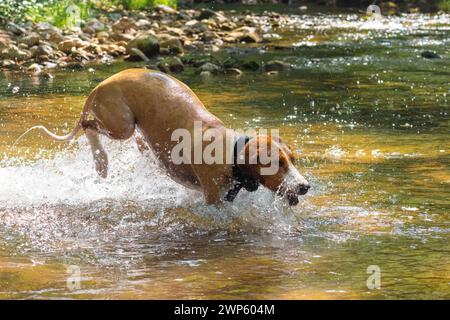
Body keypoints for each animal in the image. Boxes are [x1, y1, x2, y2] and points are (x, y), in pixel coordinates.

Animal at [14, 69, 310, 206]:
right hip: (121, 124)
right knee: (89, 126)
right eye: (278, 164)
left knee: (137, 142)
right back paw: (101, 160)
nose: (306, 186)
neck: (233, 153)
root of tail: (102, 84)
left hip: (136, 131)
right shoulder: (213, 199)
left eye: (293, 160)